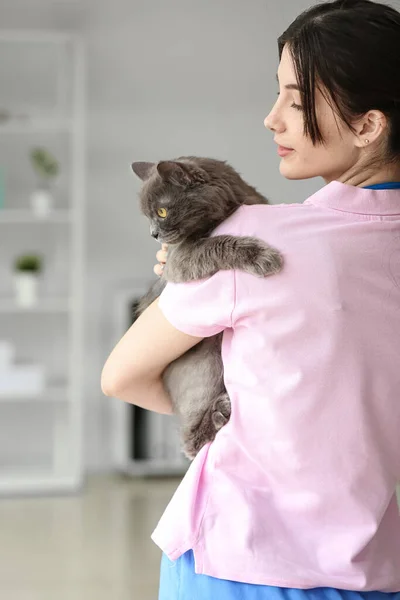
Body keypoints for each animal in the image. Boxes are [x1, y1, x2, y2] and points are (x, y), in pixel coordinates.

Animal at [131, 156, 282, 460]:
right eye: (149, 216)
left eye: (162, 212)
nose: (153, 234)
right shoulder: (178, 259)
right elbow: (216, 245)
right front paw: (261, 256)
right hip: (208, 361)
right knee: (190, 443)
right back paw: (221, 412)